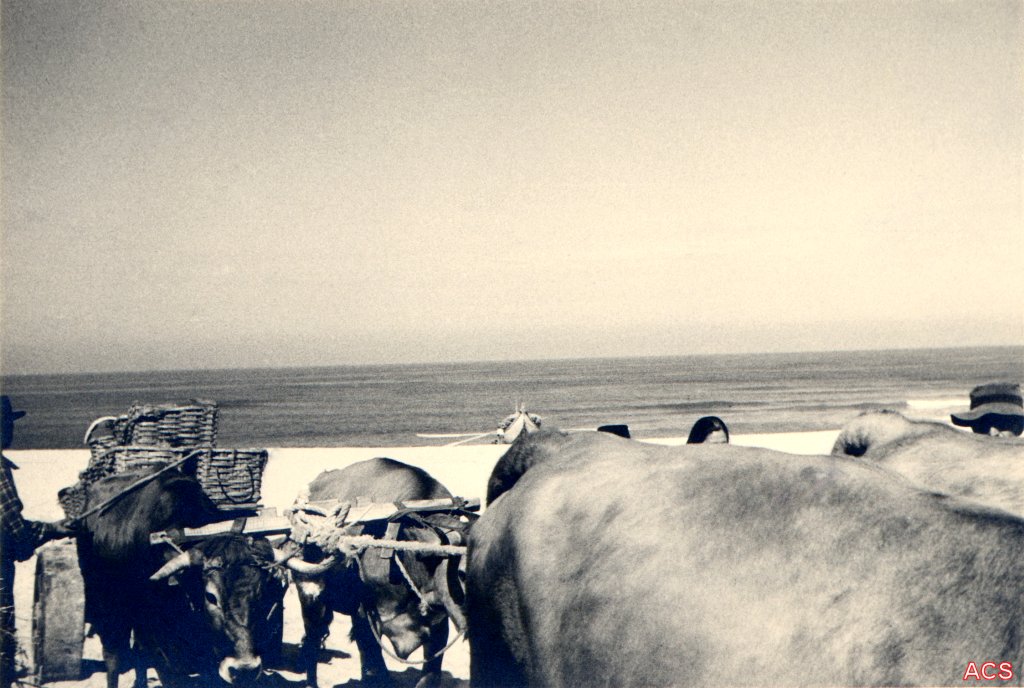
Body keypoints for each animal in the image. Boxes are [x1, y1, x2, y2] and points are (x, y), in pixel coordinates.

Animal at [73, 468, 289, 688]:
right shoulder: (161, 645)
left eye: (263, 596)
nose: (244, 670)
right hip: (110, 608)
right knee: (113, 657)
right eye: (211, 597)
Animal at [279, 457, 467, 688]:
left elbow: (430, 676)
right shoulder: (366, 618)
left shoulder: (438, 625)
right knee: (312, 643)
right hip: (311, 598)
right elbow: (376, 670)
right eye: (461, 572)